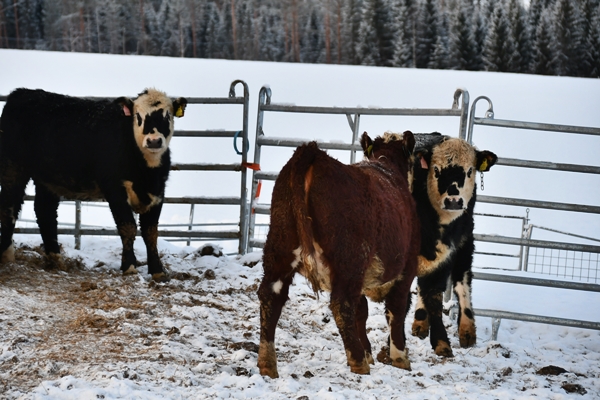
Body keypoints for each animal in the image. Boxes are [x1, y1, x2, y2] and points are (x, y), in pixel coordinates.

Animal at [0, 87, 186, 282]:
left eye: (168, 116)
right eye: (138, 116)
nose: (154, 141)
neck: (146, 172)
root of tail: (22, 93)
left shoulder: (158, 192)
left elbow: (151, 232)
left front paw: (158, 271)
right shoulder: (115, 190)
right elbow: (128, 227)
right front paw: (129, 267)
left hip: (47, 178)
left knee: (45, 212)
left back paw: (56, 259)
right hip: (12, 167)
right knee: (9, 208)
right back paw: (7, 256)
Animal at [255, 131, 420, 378]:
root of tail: (313, 153)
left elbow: (362, 311)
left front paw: (370, 353)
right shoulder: (406, 268)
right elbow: (396, 309)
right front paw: (399, 357)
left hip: (280, 248)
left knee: (270, 295)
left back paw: (267, 363)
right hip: (349, 258)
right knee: (342, 305)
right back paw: (358, 362)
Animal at [408, 133, 496, 358]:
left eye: (470, 170)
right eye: (436, 170)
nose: (454, 201)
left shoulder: (448, 252)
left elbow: (436, 293)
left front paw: (441, 342)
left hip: (465, 243)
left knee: (462, 279)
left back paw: (466, 330)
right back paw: (420, 322)